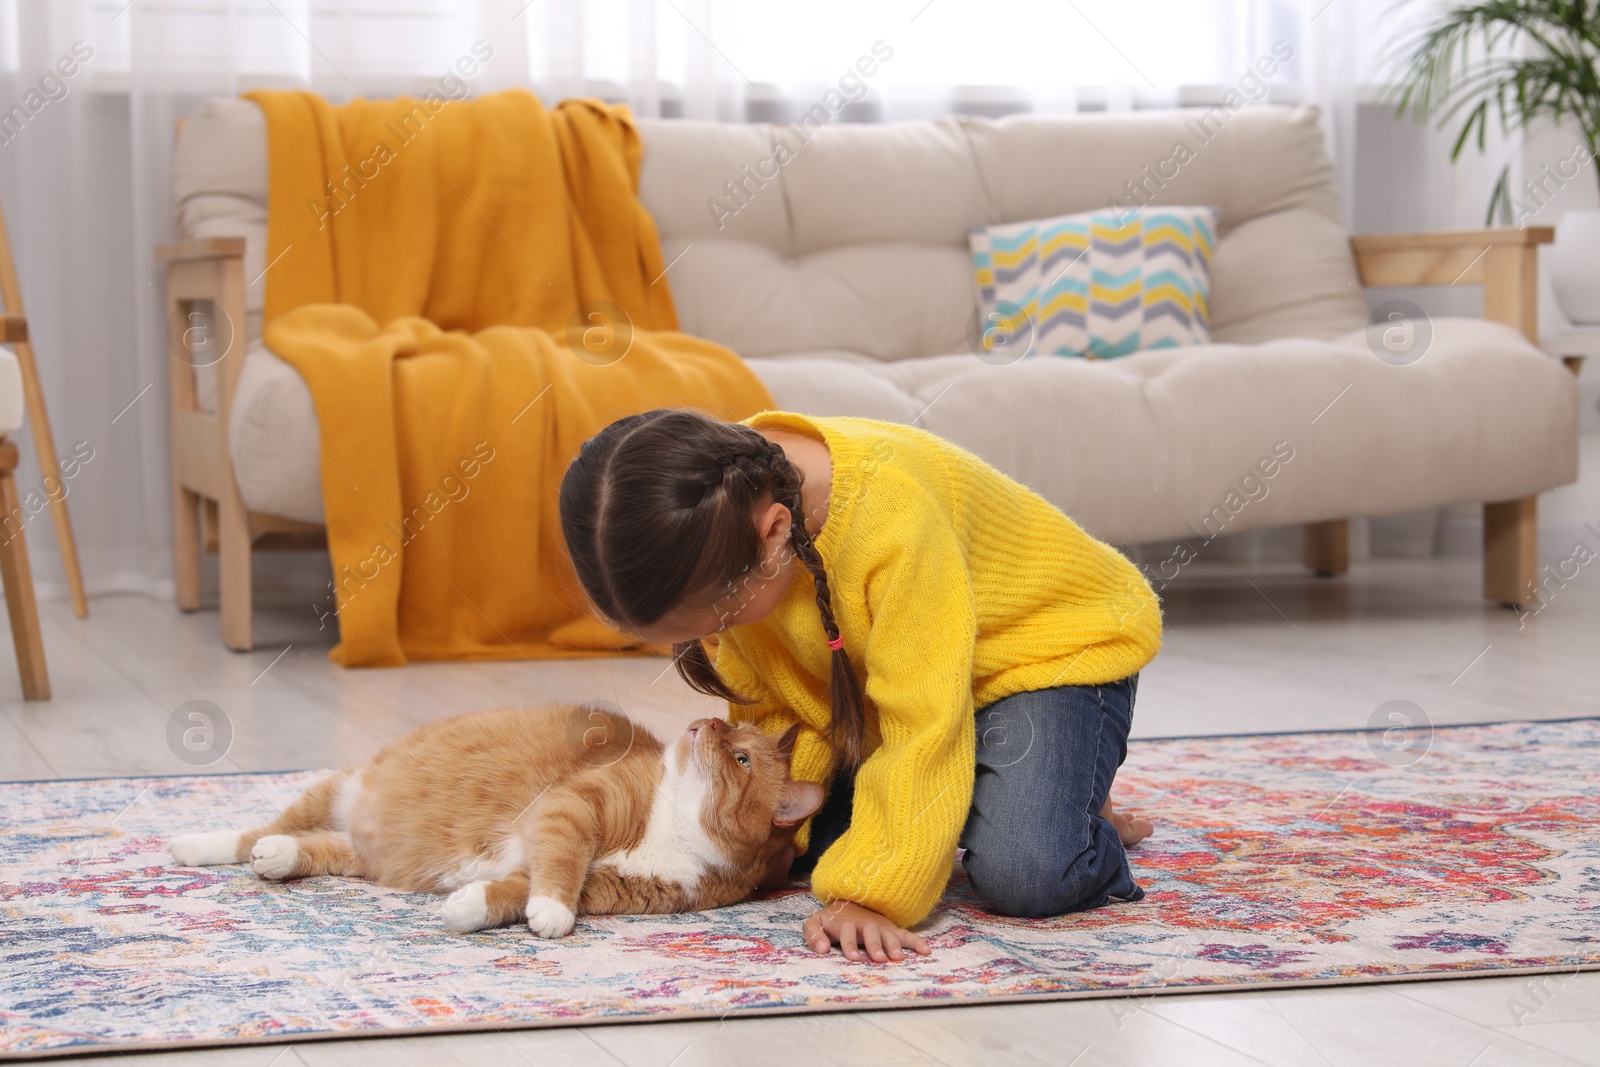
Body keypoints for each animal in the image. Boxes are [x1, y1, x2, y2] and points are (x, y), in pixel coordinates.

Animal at [168, 710, 825, 934]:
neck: (677, 827)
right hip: (338, 786)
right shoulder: (575, 807)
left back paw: (279, 858)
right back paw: (192, 843)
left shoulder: (606, 887)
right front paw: (552, 915)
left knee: (312, 847)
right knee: (255, 829)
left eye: (741, 758)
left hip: (358, 855)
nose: (709, 721)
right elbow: (560, 863)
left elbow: (516, 888)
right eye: (728, 729)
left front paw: (470, 906)